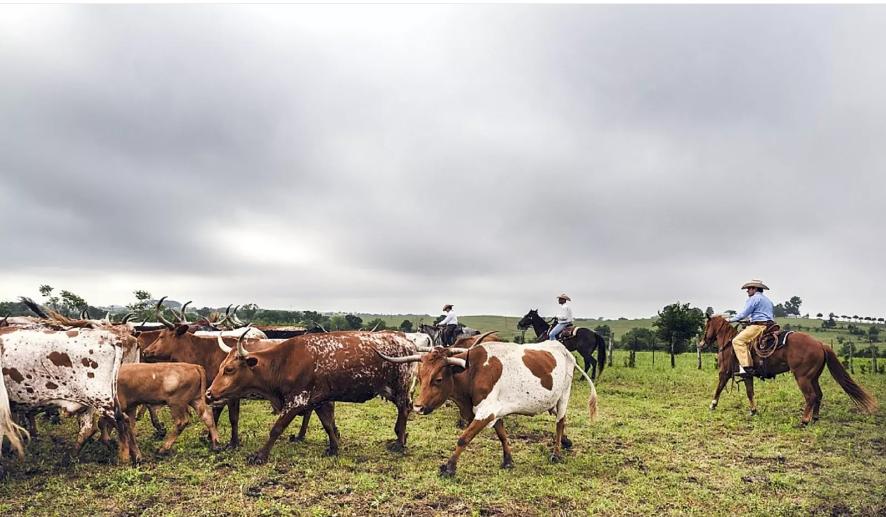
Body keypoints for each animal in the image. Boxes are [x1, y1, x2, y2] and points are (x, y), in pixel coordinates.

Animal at [208, 330, 420, 464]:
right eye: (221, 367)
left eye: (229, 369)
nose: (209, 393)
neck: (284, 361)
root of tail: (407, 341)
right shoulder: (319, 400)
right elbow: (327, 424)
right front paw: (333, 448)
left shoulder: (296, 401)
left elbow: (276, 429)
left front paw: (260, 456)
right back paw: (400, 437)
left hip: (400, 387)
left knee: (404, 409)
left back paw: (399, 443)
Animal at [380, 332, 596, 478]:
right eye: (421, 376)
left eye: (438, 379)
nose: (417, 407)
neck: (472, 371)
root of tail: (564, 350)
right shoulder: (494, 411)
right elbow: (502, 435)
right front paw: (508, 461)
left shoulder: (486, 411)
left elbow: (464, 438)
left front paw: (449, 467)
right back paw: (566, 442)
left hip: (564, 396)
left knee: (560, 423)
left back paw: (556, 453)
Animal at [700, 312, 880, 422]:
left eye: (706, 326)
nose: (702, 343)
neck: (729, 343)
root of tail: (820, 344)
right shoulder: (747, 375)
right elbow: (750, 392)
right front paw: (753, 410)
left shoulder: (724, 372)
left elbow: (719, 388)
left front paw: (712, 405)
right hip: (813, 377)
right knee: (819, 395)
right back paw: (814, 418)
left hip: (802, 377)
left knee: (811, 396)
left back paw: (804, 420)